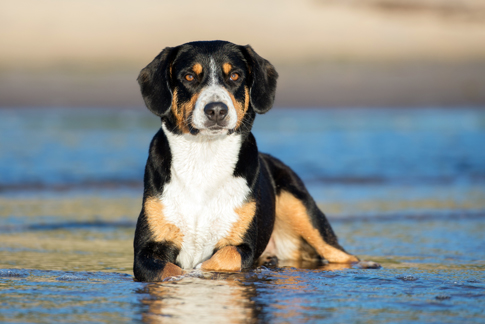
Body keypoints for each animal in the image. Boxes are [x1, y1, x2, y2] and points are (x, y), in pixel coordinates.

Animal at [132, 40, 374, 282]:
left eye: (235, 76)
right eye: (189, 76)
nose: (216, 110)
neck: (205, 158)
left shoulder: (242, 246)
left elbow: (223, 258)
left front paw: (200, 272)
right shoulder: (146, 252)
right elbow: (169, 271)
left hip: (301, 208)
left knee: (343, 255)